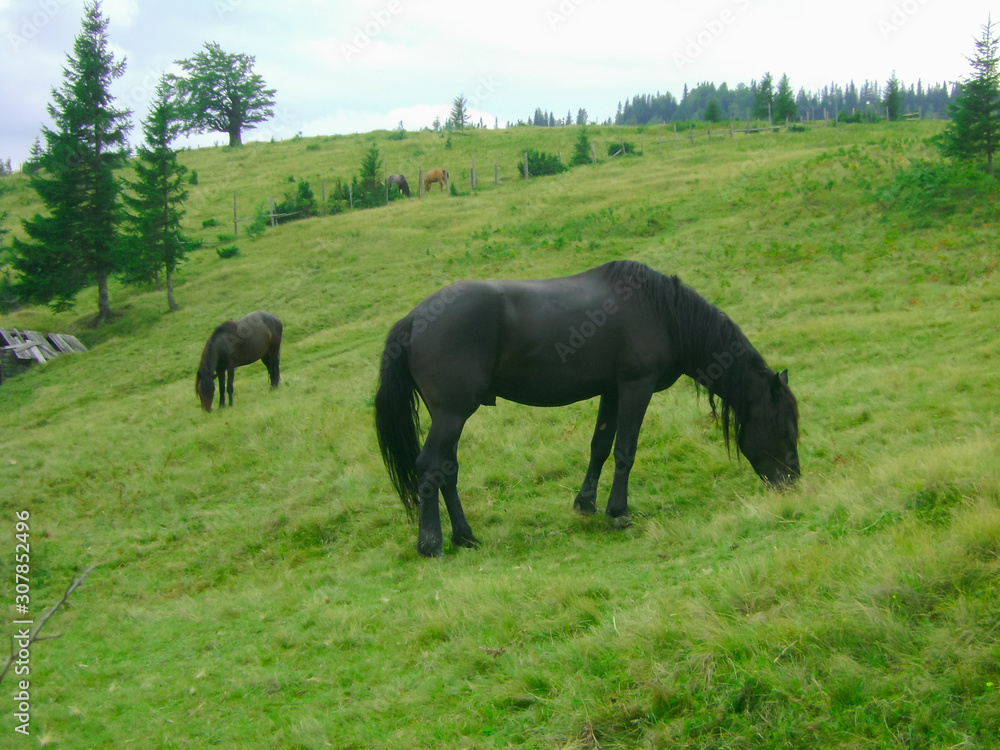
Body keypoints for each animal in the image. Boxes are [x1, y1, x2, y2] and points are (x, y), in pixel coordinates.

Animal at [372, 258, 800, 560]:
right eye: (785, 429)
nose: (792, 483)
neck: (663, 313)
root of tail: (413, 319)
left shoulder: (611, 392)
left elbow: (600, 446)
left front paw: (586, 505)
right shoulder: (636, 387)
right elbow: (625, 449)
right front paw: (618, 512)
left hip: (450, 416)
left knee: (447, 470)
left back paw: (466, 537)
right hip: (452, 414)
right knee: (430, 466)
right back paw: (432, 544)